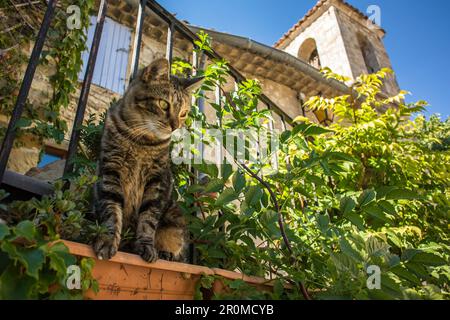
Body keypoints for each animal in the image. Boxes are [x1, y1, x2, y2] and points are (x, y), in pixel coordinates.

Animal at [93, 58, 202, 262]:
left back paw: (166, 253)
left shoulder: (157, 181)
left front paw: (146, 246)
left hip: (176, 218)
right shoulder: (110, 172)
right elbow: (112, 212)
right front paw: (107, 240)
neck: (140, 140)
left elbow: (148, 219)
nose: (175, 126)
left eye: (183, 113)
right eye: (164, 104)